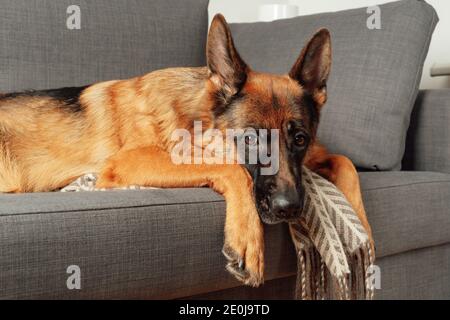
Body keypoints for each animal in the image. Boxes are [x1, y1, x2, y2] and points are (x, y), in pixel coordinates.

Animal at [0, 13, 372, 286]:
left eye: (300, 139)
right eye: (250, 139)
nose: (290, 208)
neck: (198, 118)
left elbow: (345, 161)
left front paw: (363, 231)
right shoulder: (129, 162)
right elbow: (232, 168)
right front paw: (248, 239)